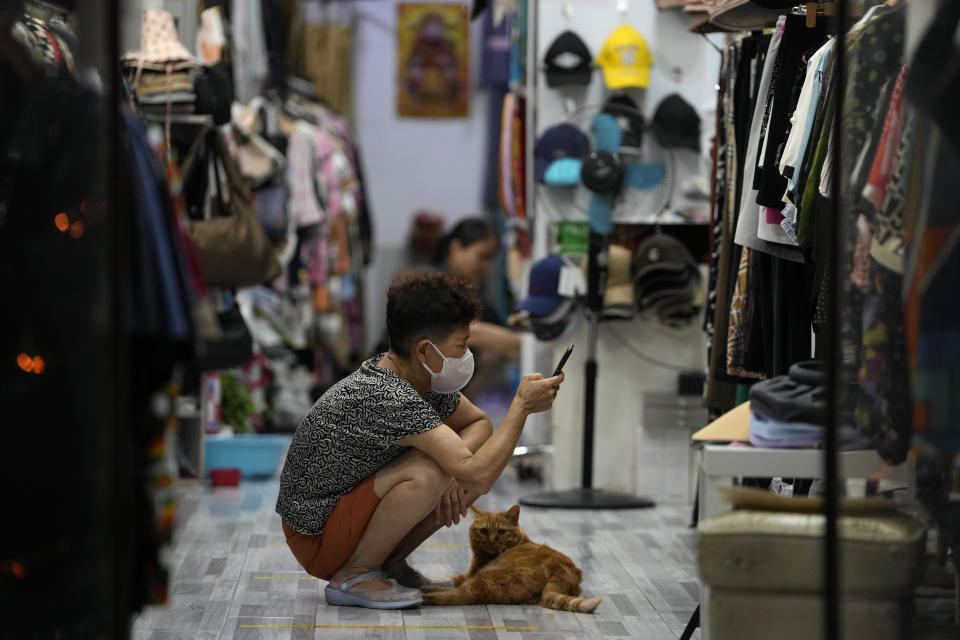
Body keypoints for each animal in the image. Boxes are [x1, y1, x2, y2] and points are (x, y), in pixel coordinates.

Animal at [420, 504, 600, 616]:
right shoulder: (468, 574)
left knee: (461, 595)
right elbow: (450, 579)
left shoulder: (474, 574)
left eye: (501, 532)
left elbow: (453, 583)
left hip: (486, 578)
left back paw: (426, 597)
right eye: (484, 531)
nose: (491, 541)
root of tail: (561, 570)